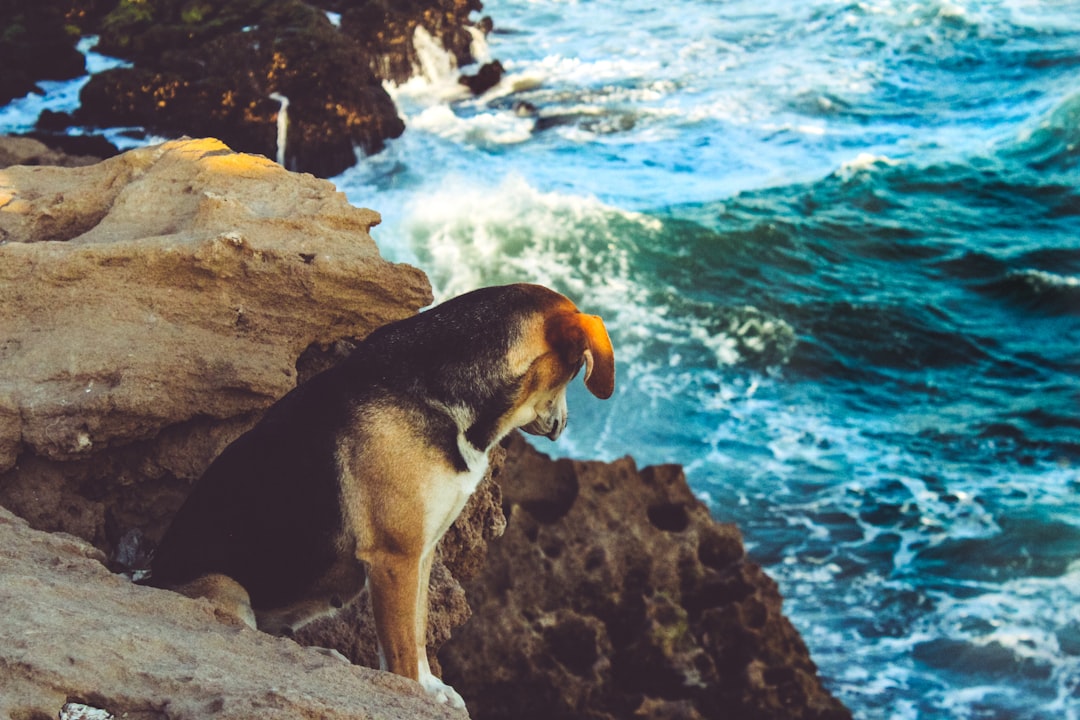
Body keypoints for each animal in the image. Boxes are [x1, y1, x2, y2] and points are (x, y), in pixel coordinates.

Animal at [144, 282, 617, 708]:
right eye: (575, 373)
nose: (563, 426)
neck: (441, 392)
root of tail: (145, 577)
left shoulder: (421, 553)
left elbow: (418, 632)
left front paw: (431, 687)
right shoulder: (395, 558)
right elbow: (402, 652)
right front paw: (412, 695)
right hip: (228, 590)